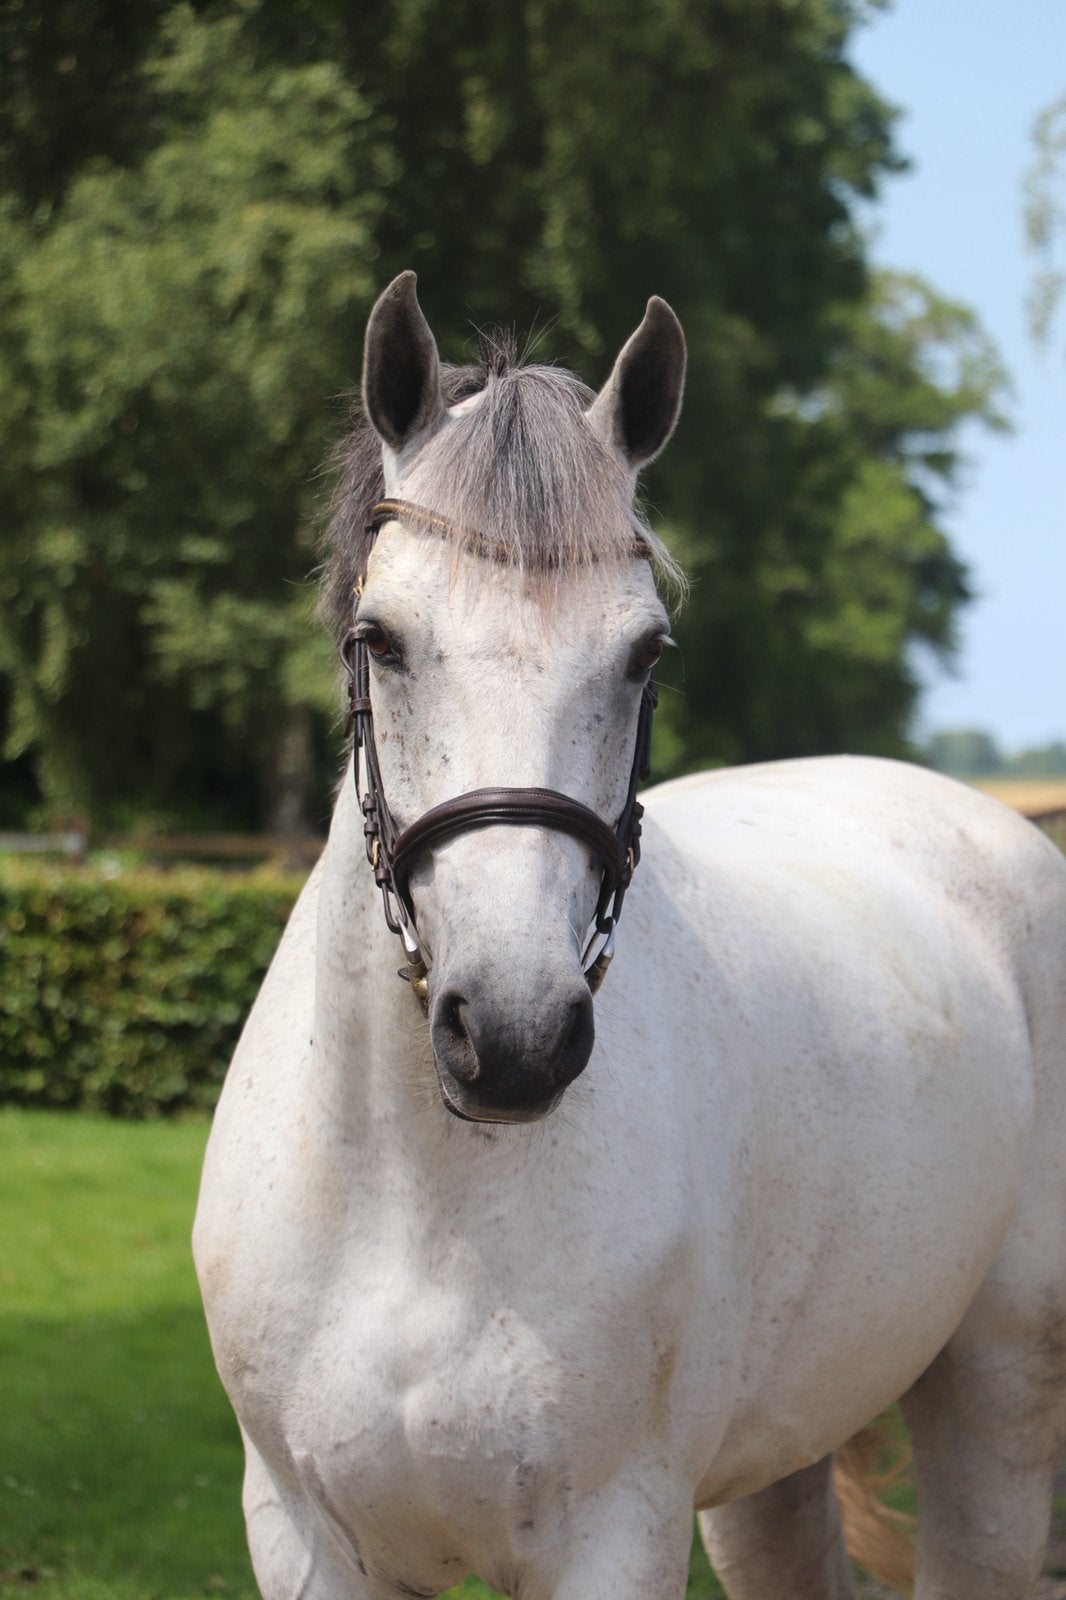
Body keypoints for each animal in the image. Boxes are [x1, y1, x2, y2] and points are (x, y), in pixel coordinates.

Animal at [194, 271, 1066, 1600]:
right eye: (378, 638)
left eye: (643, 652)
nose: (513, 1037)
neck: (420, 1209)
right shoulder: (303, 1537)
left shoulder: (612, 1534)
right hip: (773, 1470)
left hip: (995, 1391)